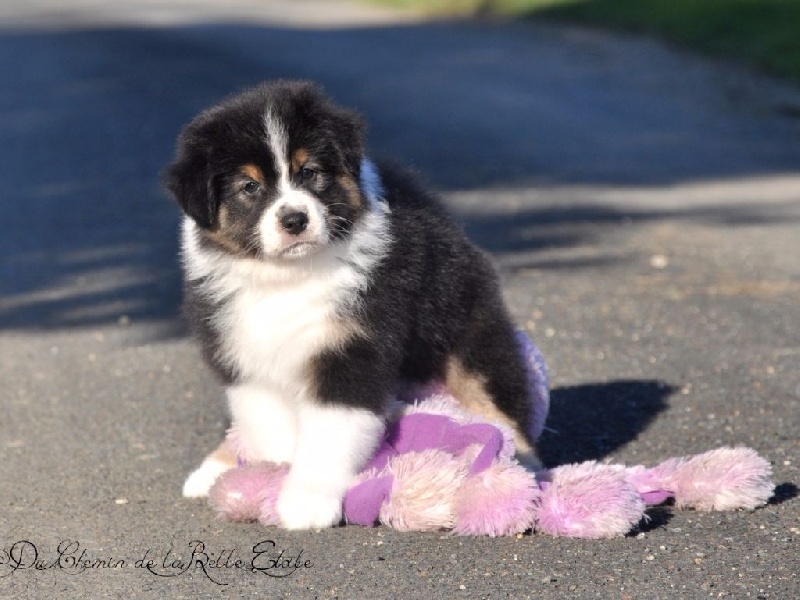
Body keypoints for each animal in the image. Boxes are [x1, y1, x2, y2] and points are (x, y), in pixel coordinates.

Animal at [164, 80, 539, 529]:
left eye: (310, 173)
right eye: (249, 187)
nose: (295, 220)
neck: (287, 276)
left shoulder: (352, 350)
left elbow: (329, 433)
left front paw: (304, 501)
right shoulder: (245, 354)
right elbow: (268, 426)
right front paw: (271, 477)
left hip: (467, 334)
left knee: (500, 407)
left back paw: (521, 474)